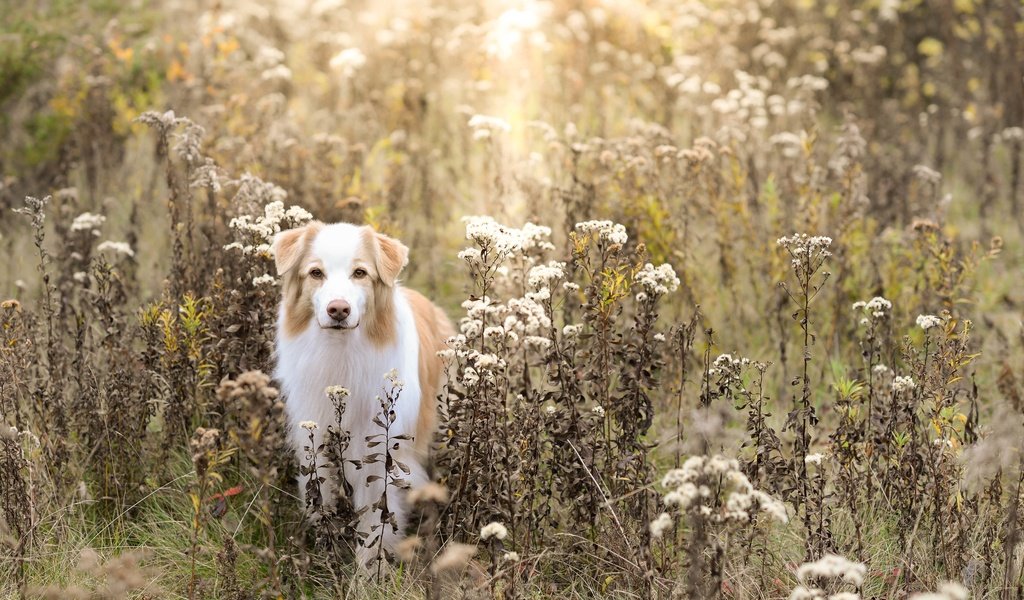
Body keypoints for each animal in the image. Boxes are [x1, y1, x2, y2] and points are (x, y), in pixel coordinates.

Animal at [272, 218, 452, 561]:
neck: (341, 351)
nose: (338, 310)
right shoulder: (316, 439)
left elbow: (376, 521)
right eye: (316, 273)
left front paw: (371, 568)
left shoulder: (382, 453)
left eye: (360, 273)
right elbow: (321, 497)